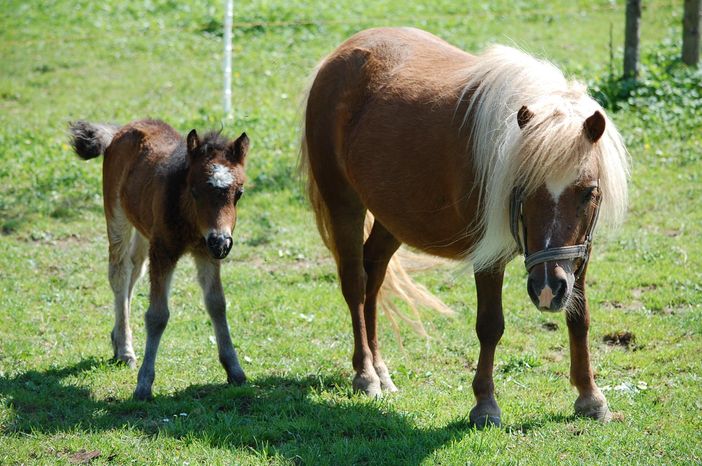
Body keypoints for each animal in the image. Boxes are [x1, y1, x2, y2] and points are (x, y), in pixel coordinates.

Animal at [69, 120, 250, 400]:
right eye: (195, 191)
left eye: (238, 193)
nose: (221, 241)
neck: (191, 224)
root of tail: (122, 129)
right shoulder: (163, 252)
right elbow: (157, 315)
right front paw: (144, 384)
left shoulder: (206, 254)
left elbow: (217, 304)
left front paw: (235, 370)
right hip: (116, 213)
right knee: (120, 273)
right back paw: (126, 351)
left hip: (144, 231)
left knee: (134, 270)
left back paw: (118, 339)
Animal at [300, 28, 628, 426]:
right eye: (522, 188)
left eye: (589, 192)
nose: (548, 289)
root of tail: (341, 54)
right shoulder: (489, 255)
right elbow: (490, 325)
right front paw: (485, 404)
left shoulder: (580, 252)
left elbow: (579, 318)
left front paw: (590, 397)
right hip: (343, 203)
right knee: (355, 283)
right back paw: (365, 375)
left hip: (392, 218)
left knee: (373, 277)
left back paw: (380, 370)